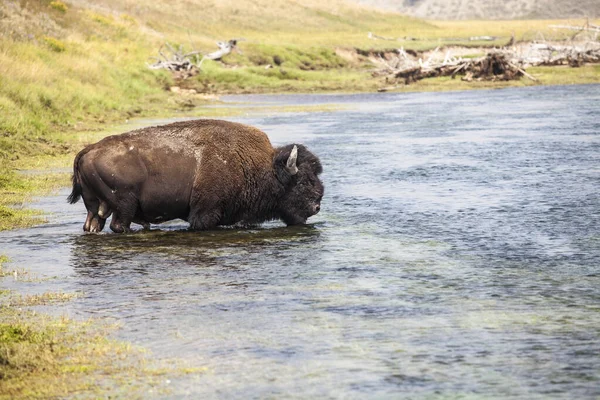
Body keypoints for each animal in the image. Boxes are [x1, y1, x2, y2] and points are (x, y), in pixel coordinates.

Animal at [68, 119, 324, 233]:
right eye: (303, 181)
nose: (316, 206)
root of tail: (88, 150)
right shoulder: (205, 213)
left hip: (96, 207)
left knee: (92, 225)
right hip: (124, 205)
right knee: (118, 225)